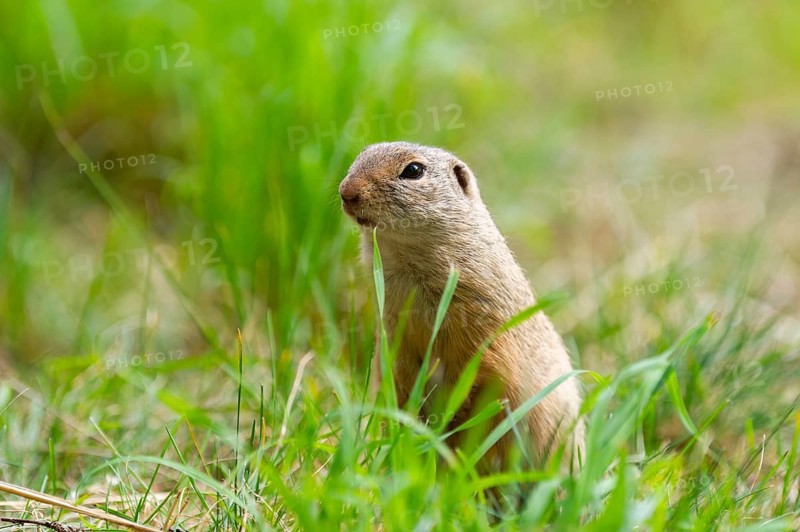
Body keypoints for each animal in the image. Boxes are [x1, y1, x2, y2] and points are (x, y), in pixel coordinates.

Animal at [339, 142, 583, 467]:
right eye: (360, 156)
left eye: (413, 170)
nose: (347, 191)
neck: (408, 263)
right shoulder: (391, 328)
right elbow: (397, 367)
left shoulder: (482, 325)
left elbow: (481, 370)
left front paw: (453, 414)